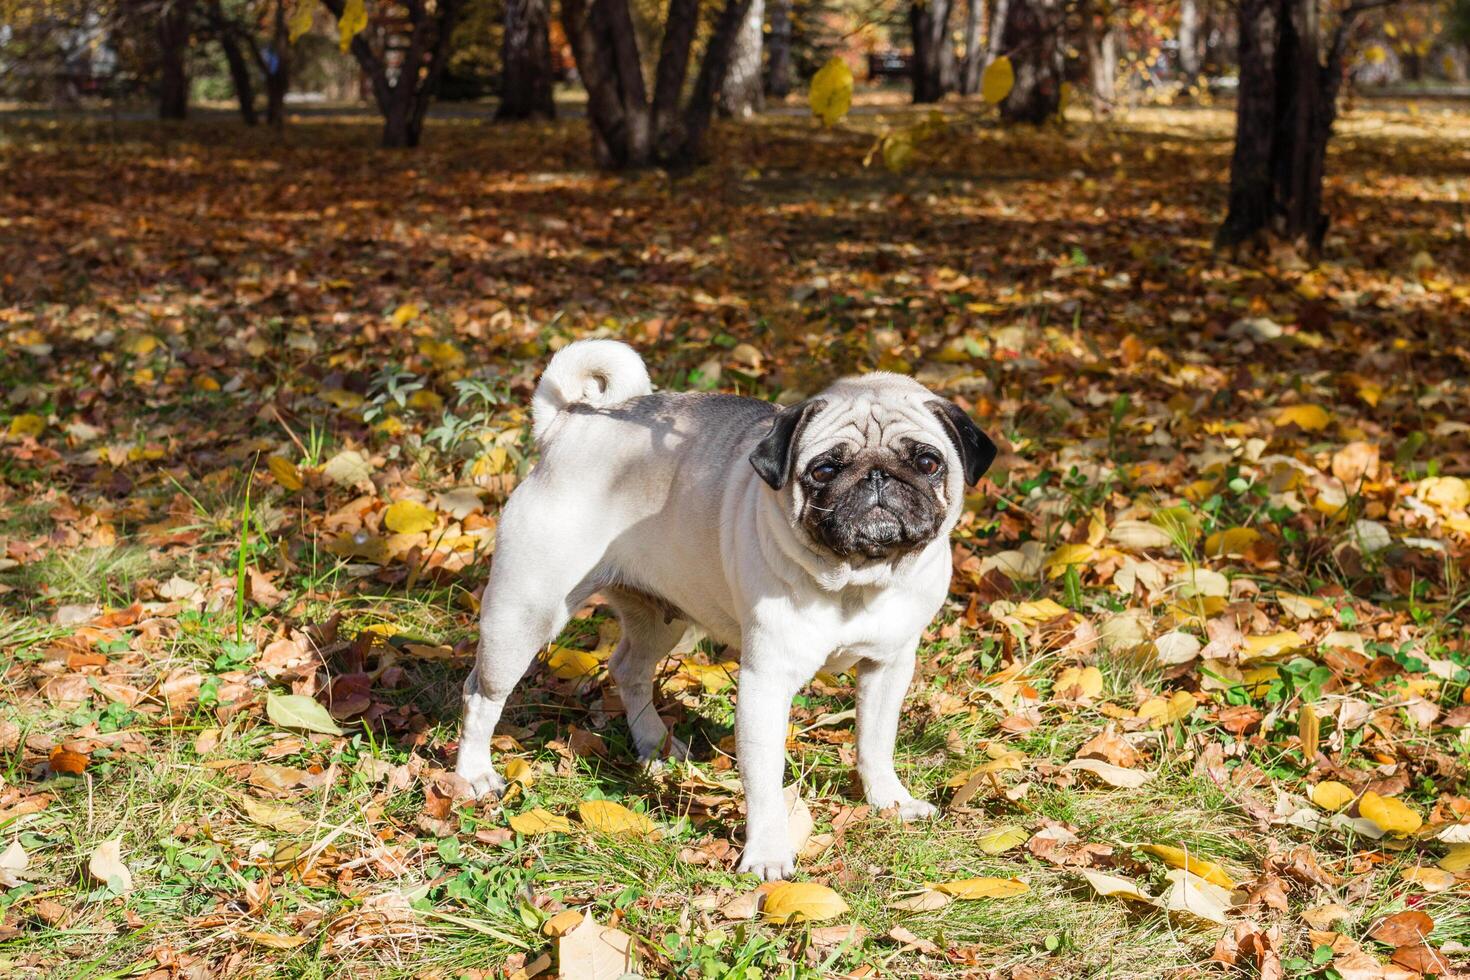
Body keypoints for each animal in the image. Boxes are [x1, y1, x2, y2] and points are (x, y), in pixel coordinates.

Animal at [452, 339, 993, 881]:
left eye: (927, 462)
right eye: (824, 470)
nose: (878, 476)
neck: (858, 579)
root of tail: (568, 422)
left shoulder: (888, 666)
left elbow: (876, 742)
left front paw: (889, 802)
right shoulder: (765, 683)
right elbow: (765, 781)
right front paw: (768, 853)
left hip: (657, 616)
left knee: (628, 668)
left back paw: (656, 745)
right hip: (525, 613)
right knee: (481, 693)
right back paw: (475, 775)